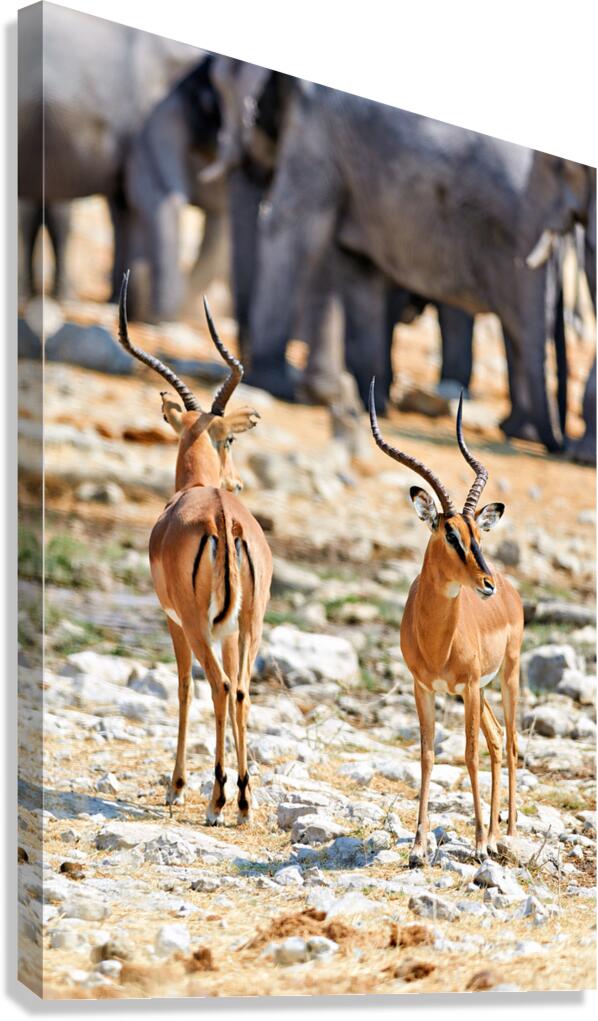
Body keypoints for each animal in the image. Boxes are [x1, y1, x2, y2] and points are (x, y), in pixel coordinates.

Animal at [116, 272, 272, 826]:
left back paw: (216, 801)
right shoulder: (226, 627)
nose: (238, 482)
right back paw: (243, 801)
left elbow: (183, 687)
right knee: (241, 689)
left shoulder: (175, 621)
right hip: (249, 624)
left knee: (218, 686)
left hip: (198, 623)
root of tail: (223, 515)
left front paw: (177, 786)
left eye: (229, 439)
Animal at [369, 382, 524, 865]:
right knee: (497, 739)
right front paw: (419, 847)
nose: (485, 583)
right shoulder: (425, 687)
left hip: (505, 678)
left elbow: (469, 755)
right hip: (480, 692)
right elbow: (426, 756)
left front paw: (476, 845)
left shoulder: (469, 686)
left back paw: (505, 836)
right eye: (450, 533)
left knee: (509, 743)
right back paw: (495, 833)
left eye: (478, 534)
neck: (437, 640)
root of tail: (511, 590)